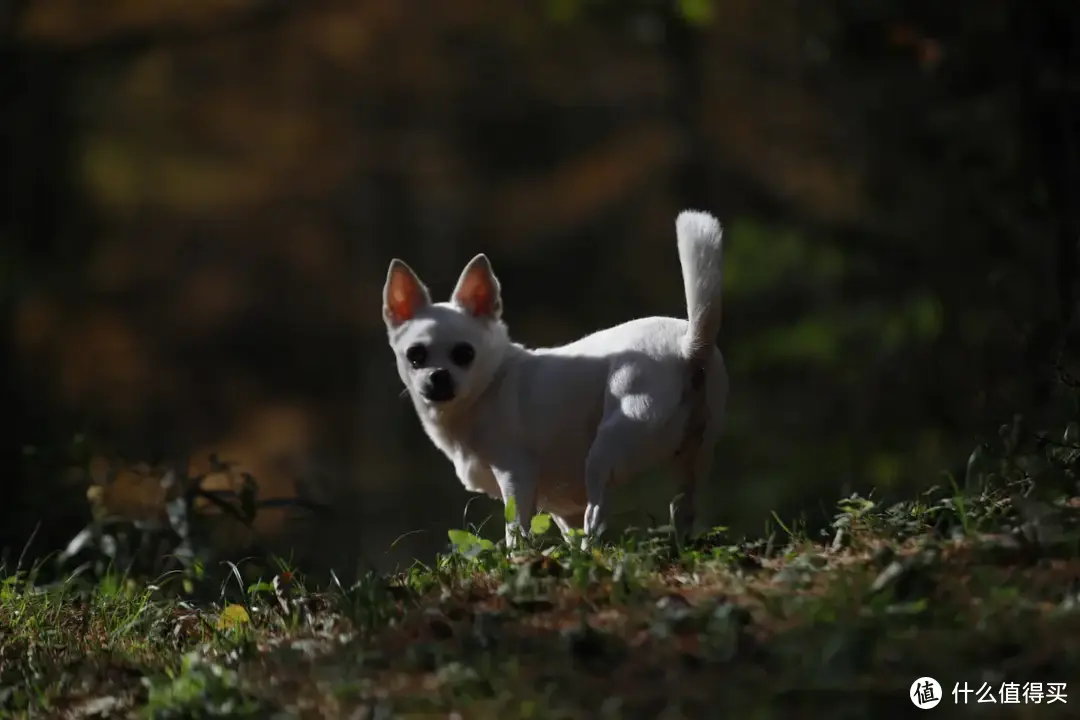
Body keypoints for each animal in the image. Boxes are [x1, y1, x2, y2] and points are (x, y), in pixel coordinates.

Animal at [380, 211, 725, 548]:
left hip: (608, 449)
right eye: (415, 356)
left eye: (464, 354)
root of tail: (688, 346)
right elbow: (567, 533)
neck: (488, 387)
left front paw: (518, 559)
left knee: (596, 517)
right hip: (694, 458)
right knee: (682, 509)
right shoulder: (557, 507)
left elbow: (516, 533)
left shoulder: (516, 478)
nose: (438, 376)